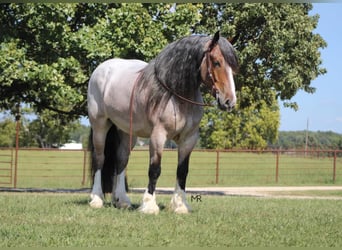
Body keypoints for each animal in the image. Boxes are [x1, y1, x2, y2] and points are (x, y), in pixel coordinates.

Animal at [87, 31, 238, 214]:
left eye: (233, 67)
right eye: (216, 62)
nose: (229, 101)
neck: (176, 95)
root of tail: (101, 69)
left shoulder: (189, 138)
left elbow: (182, 171)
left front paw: (180, 205)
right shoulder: (158, 136)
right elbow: (155, 170)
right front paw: (149, 205)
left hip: (126, 132)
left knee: (121, 160)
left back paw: (122, 200)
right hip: (100, 125)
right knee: (99, 159)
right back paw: (96, 199)